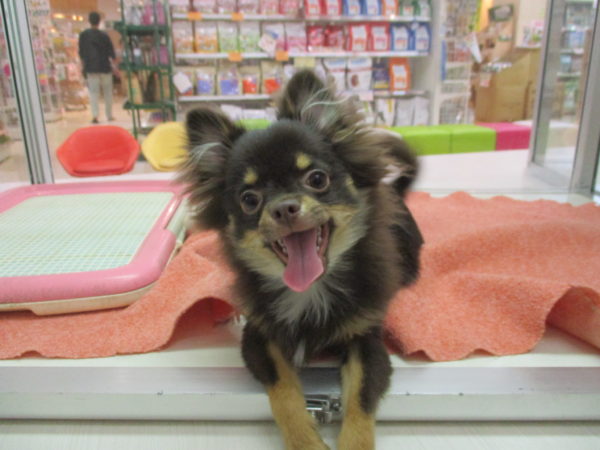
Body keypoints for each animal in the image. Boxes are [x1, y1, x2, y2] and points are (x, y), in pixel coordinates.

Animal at [179, 70, 422, 449]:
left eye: (317, 179)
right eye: (249, 200)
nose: (283, 208)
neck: (311, 290)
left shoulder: (366, 341)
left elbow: (360, 402)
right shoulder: (260, 337)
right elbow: (285, 393)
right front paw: (306, 441)